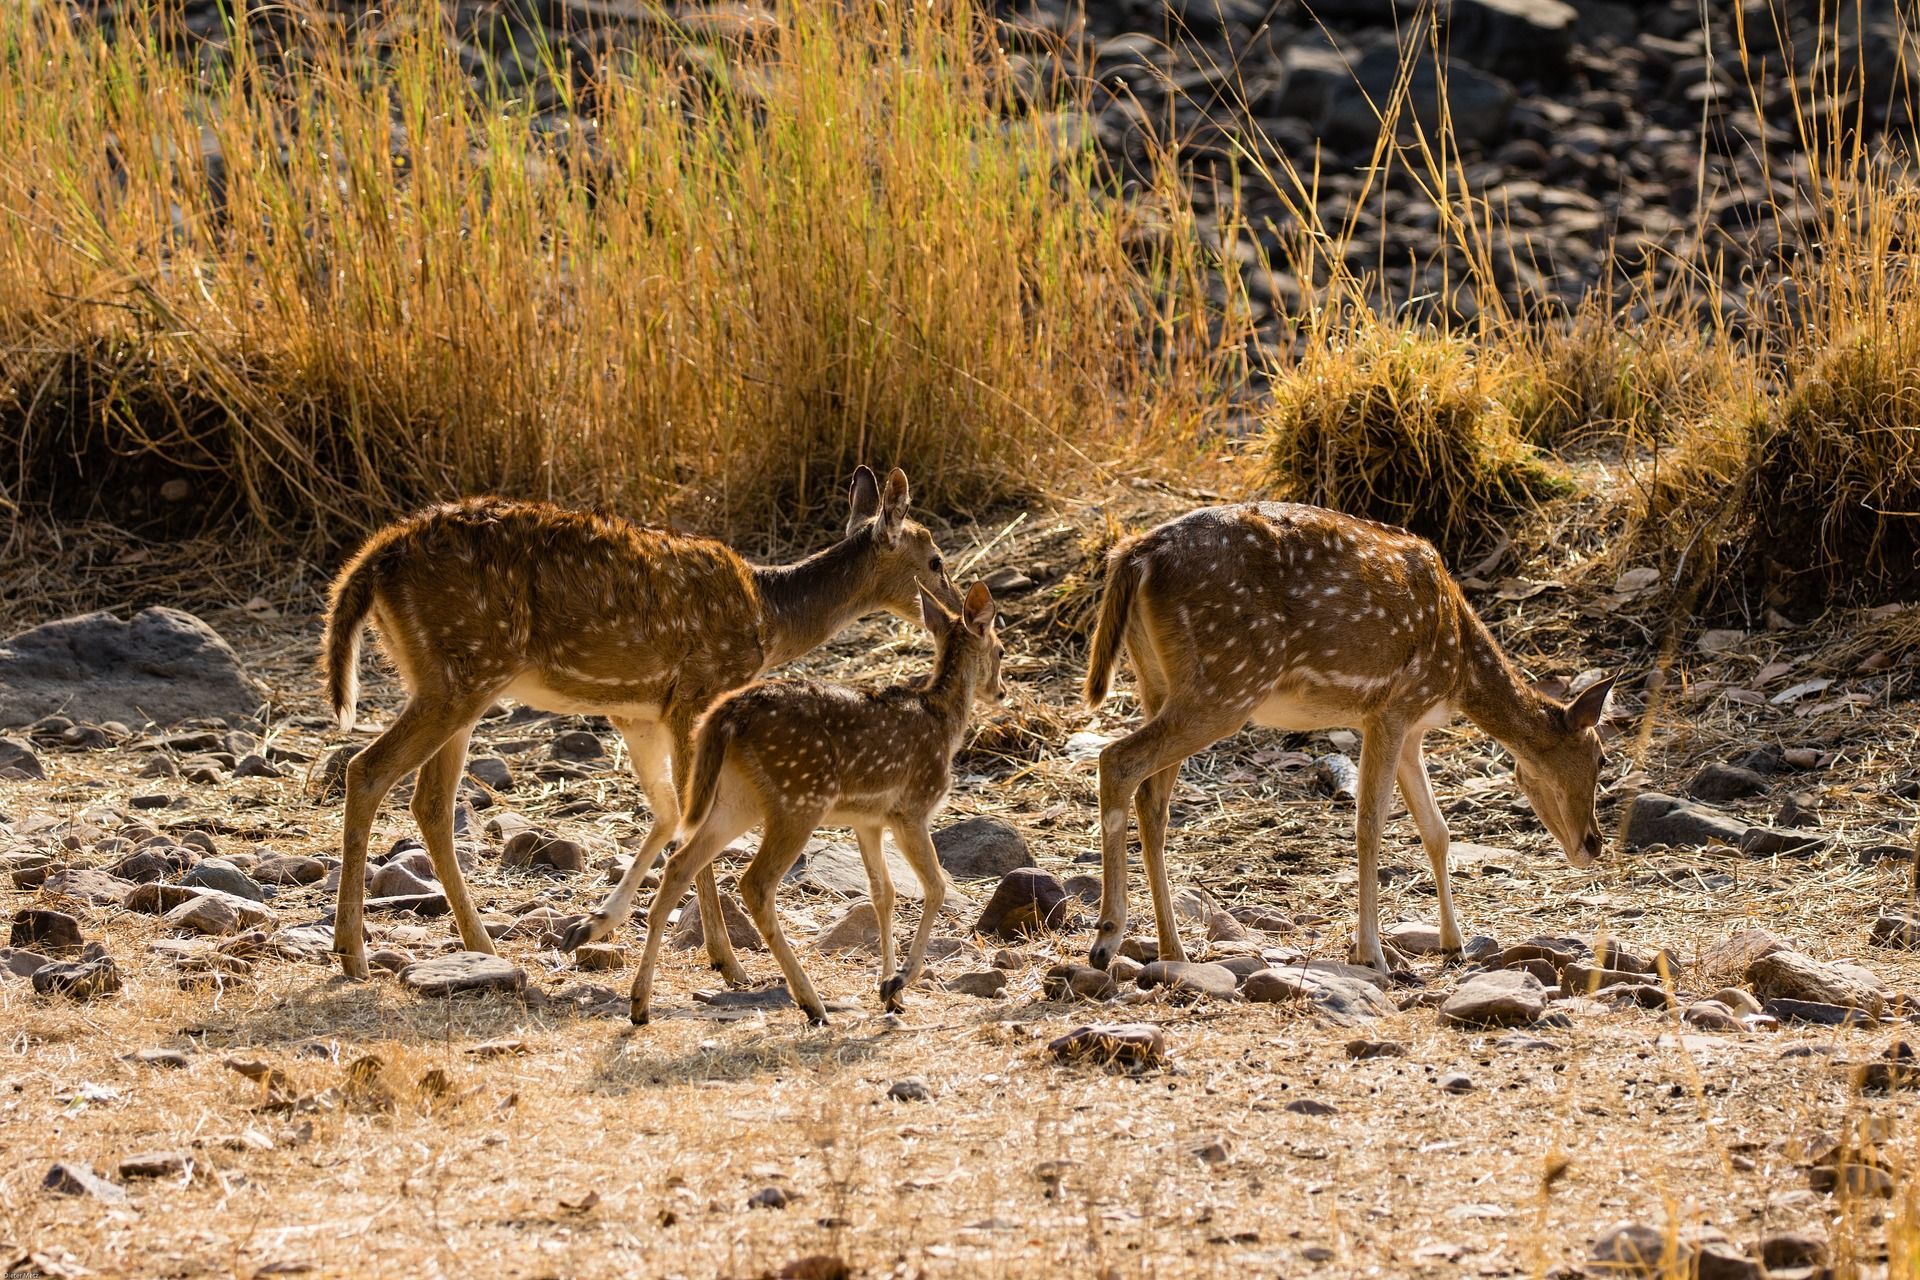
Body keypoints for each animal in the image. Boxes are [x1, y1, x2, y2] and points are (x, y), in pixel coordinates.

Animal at [324, 468, 975, 982]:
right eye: (936, 559)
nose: (960, 611)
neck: (769, 617)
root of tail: (375, 558)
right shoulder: (698, 691)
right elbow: (692, 824)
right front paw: (727, 963)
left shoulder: (637, 710)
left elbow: (667, 814)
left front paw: (594, 926)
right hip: (462, 671)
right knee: (366, 768)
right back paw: (354, 953)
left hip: (448, 677)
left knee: (429, 801)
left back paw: (479, 945)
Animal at [629, 579, 1006, 1028]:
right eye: (1001, 649)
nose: (1001, 692)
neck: (943, 724)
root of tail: (727, 713)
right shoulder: (911, 808)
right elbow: (935, 885)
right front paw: (899, 980)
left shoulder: (868, 820)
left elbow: (883, 893)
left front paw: (890, 993)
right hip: (799, 798)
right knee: (754, 882)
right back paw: (812, 1003)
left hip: (737, 799)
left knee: (680, 864)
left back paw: (640, 1004)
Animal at [1082, 498, 1620, 971]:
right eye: (1601, 759)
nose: (1594, 844)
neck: (1459, 670)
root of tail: (1134, 556)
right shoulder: (1393, 707)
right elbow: (1370, 826)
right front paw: (1372, 954)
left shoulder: (1410, 729)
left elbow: (1437, 830)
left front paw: (1454, 944)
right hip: (1225, 683)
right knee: (1117, 760)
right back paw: (1107, 938)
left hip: (1158, 682)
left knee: (1152, 797)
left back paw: (1172, 948)